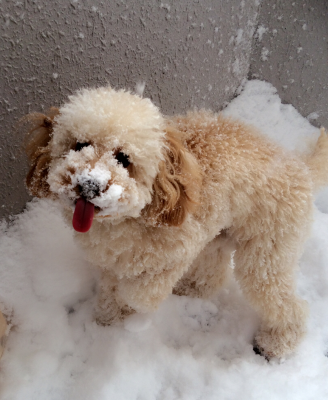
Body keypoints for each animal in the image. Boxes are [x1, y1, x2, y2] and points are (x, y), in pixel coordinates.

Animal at [24, 86, 328, 358]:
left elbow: (138, 293)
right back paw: (194, 288)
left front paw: (128, 307)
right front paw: (108, 316)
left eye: (123, 158)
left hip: (267, 254)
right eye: (80, 145)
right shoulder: (111, 262)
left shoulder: (177, 253)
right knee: (215, 269)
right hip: (220, 233)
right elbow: (111, 288)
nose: (88, 184)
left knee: (287, 303)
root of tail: (300, 166)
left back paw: (277, 343)